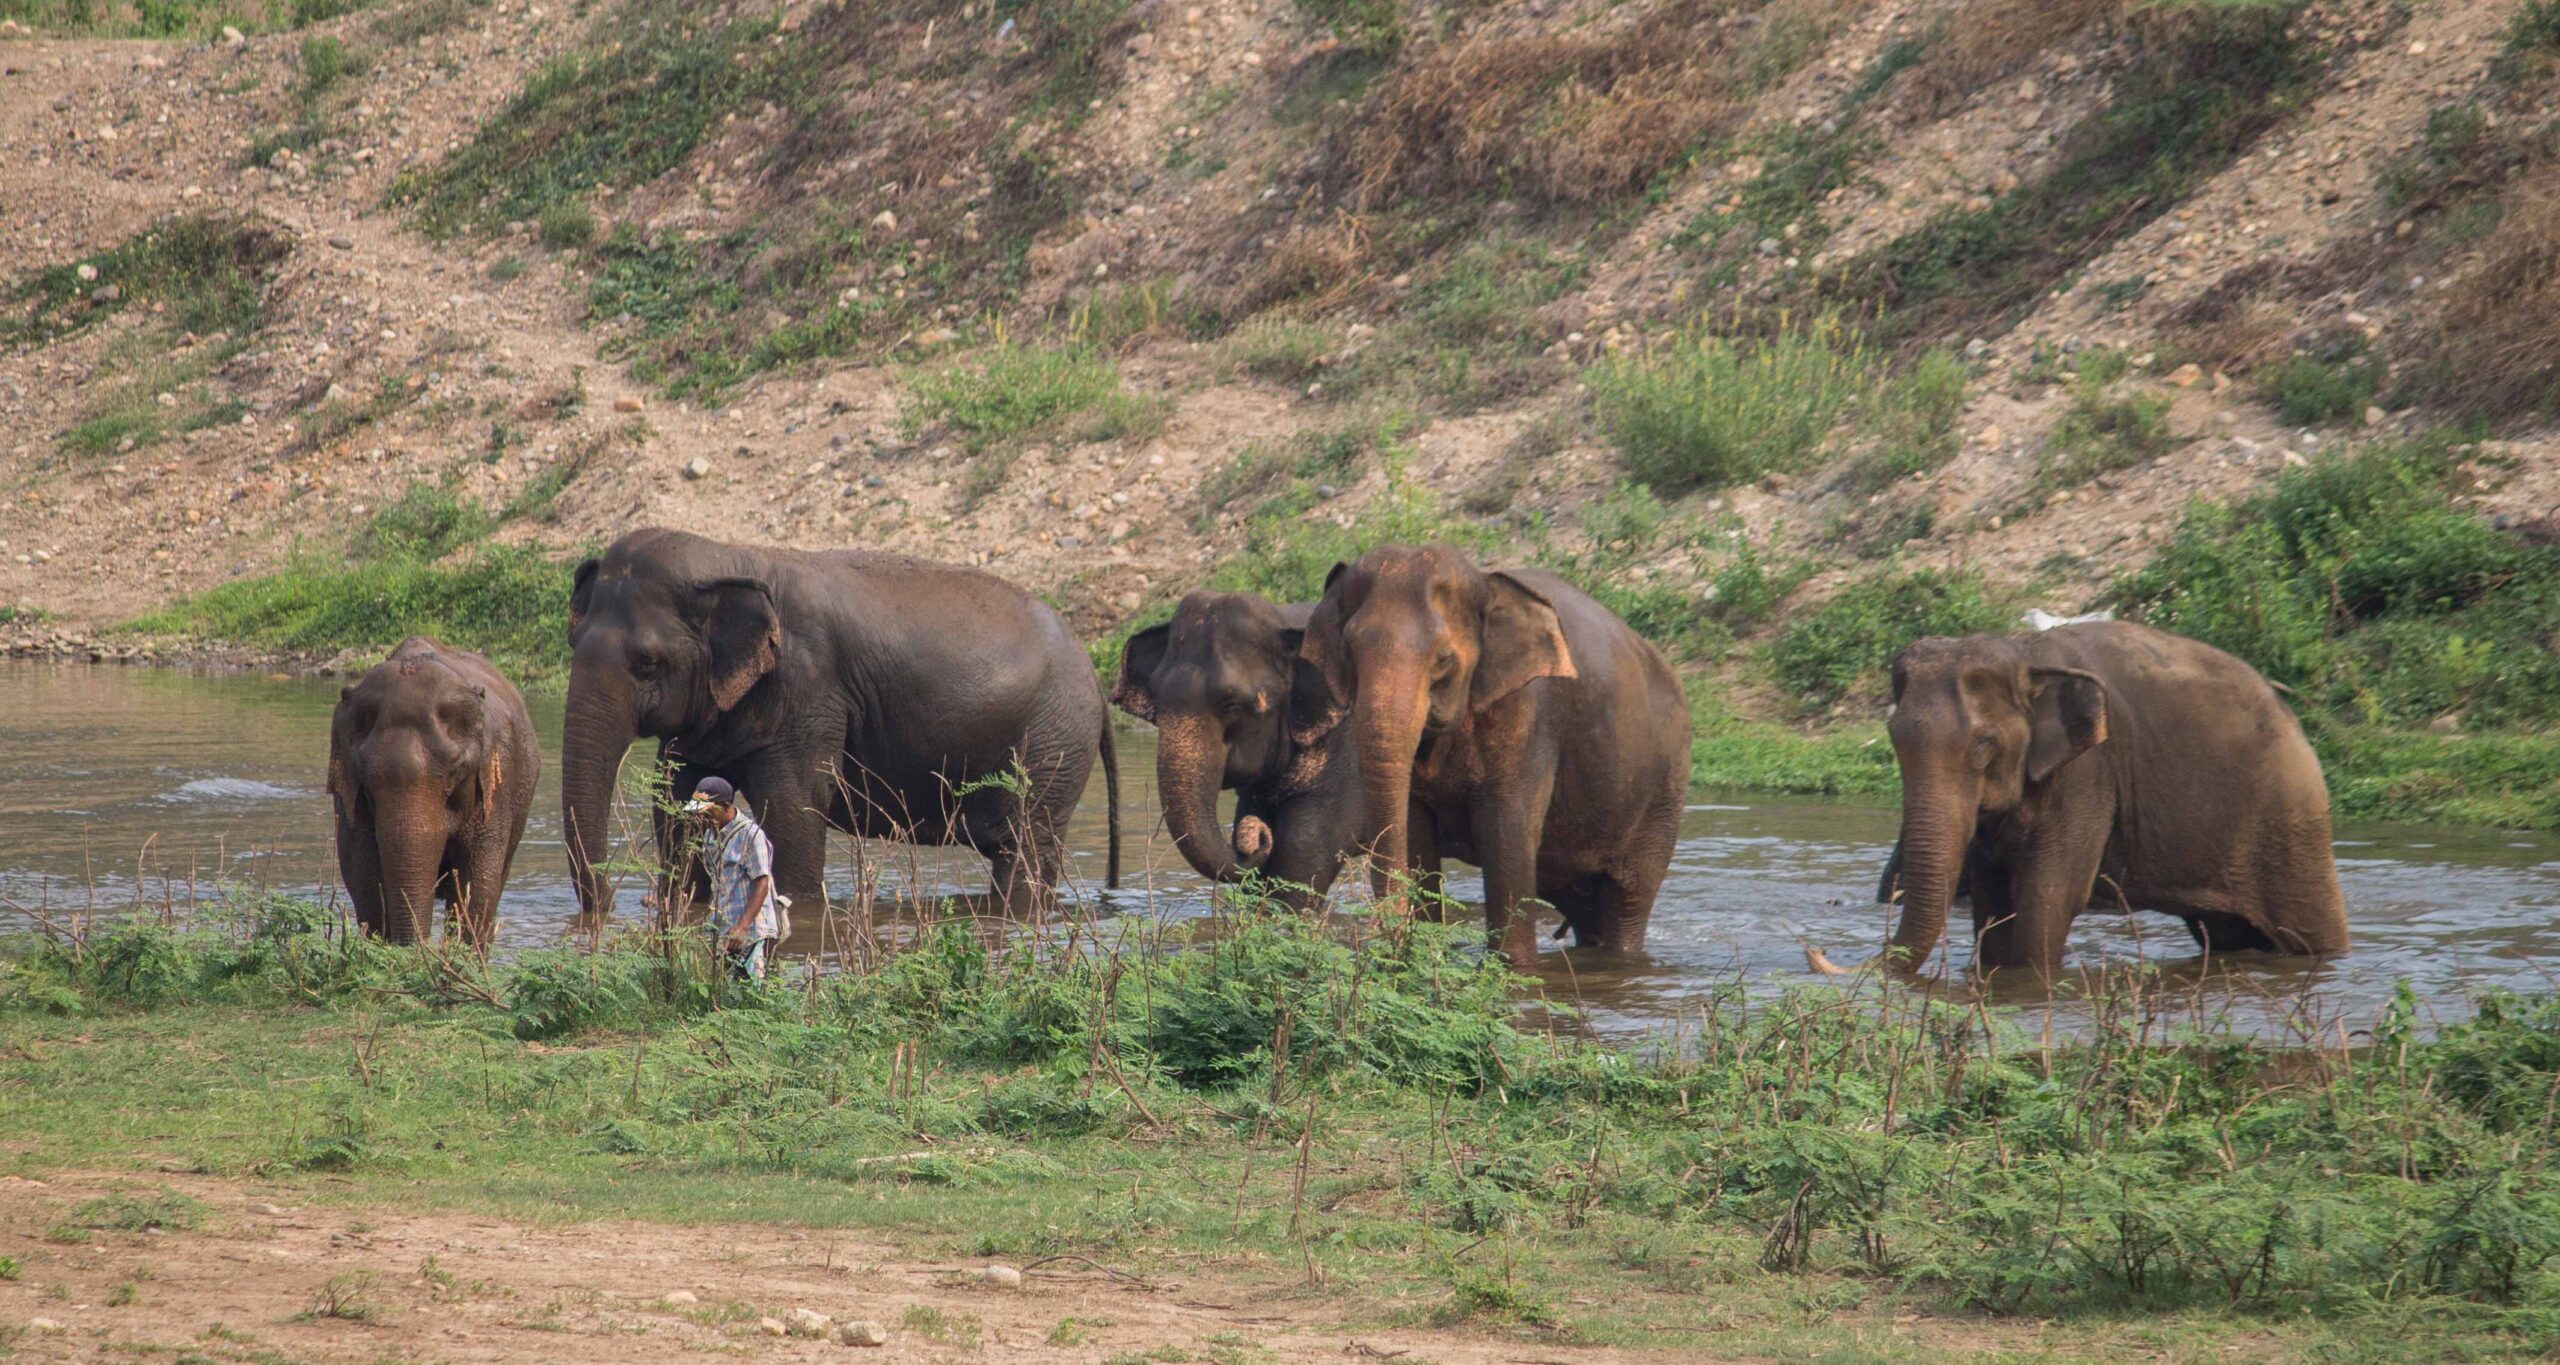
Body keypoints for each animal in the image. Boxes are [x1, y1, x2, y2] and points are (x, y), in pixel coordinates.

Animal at [327, 637, 539, 947]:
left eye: (456, 769)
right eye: (367, 778)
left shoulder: (498, 783)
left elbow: (478, 881)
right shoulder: (348, 791)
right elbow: (361, 872)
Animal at [558, 528, 1120, 926]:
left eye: (648, 664)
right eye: (572, 640)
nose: (609, 907)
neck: (734, 556)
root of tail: (1096, 677)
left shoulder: (809, 692)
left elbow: (793, 808)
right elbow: (674, 802)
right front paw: (682, 906)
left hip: (1052, 744)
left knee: (1024, 848)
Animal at [1290, 544, 1692, 966]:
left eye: (1443, 659)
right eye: (1348, 653)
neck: (1486, 583)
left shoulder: (1528, 714)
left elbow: (1507, 832)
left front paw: (1514, 968)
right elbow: (1416, 834)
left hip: (1663, 792)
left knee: (1629, 899)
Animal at [1876, 620, 2349, 972]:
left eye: (1983, 745)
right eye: (1893, 737)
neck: (2023, 652)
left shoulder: (2089, 773)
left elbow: (2049, 896)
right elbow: (1994, 902)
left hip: (2289, 829)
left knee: (2307, 931)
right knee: (2227, 934)